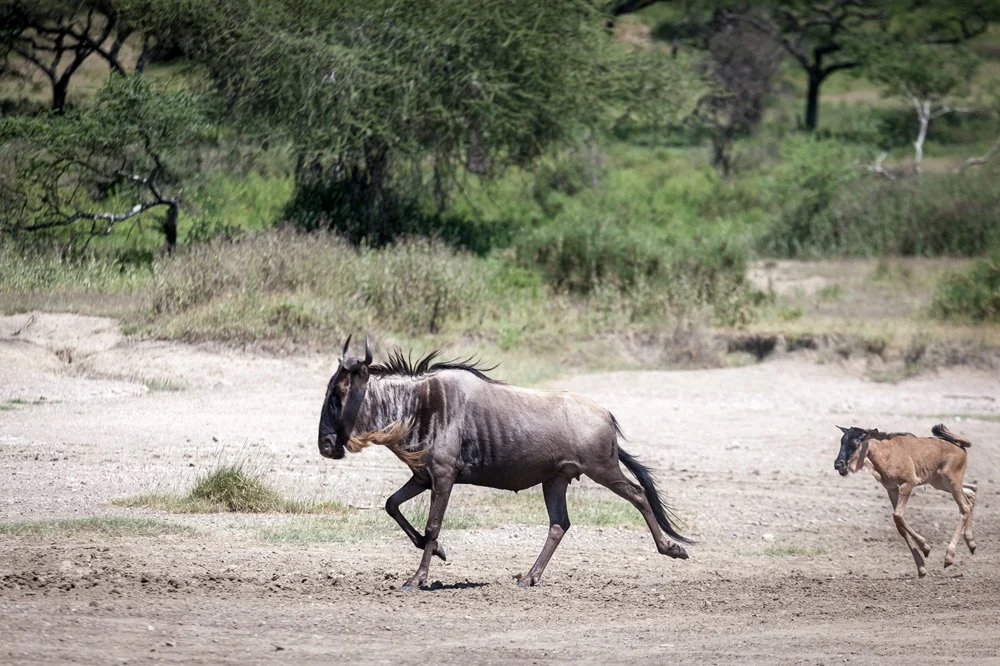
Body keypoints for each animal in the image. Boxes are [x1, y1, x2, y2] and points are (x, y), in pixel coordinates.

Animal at [834, 424, 978, 577]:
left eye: (856, 442)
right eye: (842, 441)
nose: (838, 465)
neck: (885, 454)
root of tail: (960, 446)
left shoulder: (908, 484)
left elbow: (897, 515)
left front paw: (926, 547)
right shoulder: (892, 490)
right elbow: (899, 524)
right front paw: (921, 567)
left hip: (951, 480)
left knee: (965, 507)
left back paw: (949, 556)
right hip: (940, 483)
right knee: (971, 494)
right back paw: (971, 543)